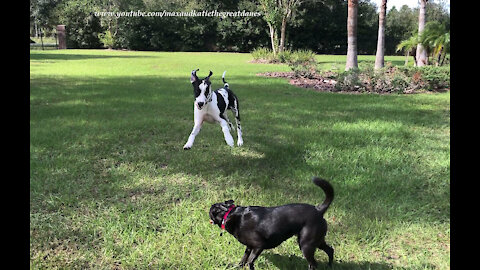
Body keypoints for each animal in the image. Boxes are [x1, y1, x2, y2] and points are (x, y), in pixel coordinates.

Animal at [208, 177, 336, 270]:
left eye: (211, 210)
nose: (210, 207)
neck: (230, 214)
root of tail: (318, 210)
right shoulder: (249, 247)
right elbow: (243, 259)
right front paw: (237, 266)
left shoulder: (258, 246)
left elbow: (249, 261)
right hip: (317, 241)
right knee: (330, 250)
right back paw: (330, 266)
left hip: (306, 245)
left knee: (313, 264)